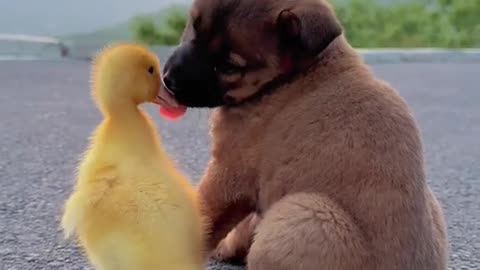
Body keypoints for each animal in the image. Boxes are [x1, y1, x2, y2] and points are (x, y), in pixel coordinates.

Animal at [162, 0, 450, 268]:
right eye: (194, 25)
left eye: (229, 66)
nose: (167, 80)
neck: (294, 73)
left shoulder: (230, 172)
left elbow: (203, 214)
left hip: (299, 213)